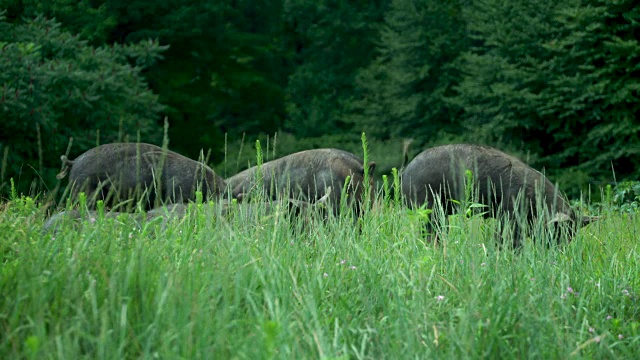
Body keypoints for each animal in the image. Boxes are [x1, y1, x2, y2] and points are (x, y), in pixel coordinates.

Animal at [402, 143, 596, 248]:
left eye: (572, 235)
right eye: (558, 231)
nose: (558, 252)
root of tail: (406, 171)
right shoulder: (509, 212)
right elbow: (505, 237)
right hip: (428, 206)